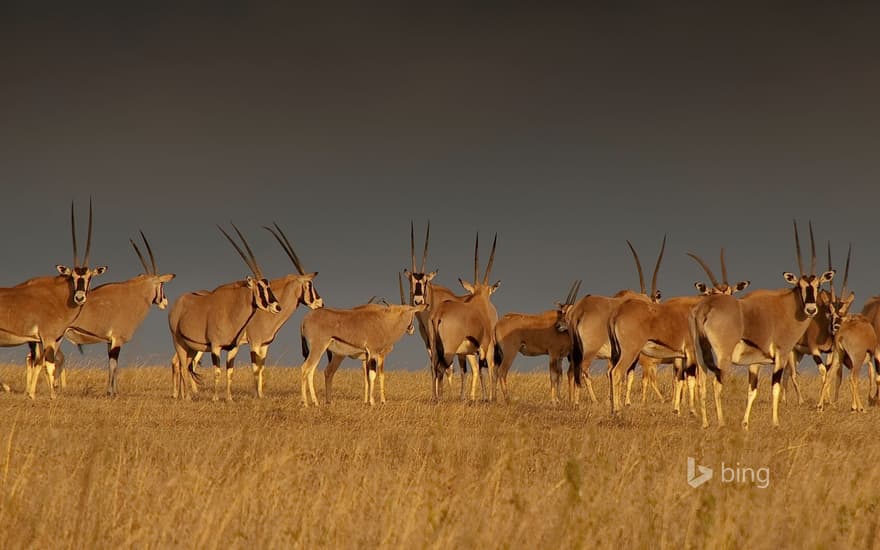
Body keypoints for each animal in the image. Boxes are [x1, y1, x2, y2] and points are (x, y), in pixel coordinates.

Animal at [300, 274, 426, 406]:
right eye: (412, 313)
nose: (411, 329)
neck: (385, 321)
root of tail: (305, 319)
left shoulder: (368, 355)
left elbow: (369, 377)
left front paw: (369, 401)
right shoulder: (375, 353)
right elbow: (373, 375)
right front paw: (373, 401)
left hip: (325, 352)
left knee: (315, 371)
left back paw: (319, 402)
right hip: (319, 349)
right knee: (306, 368)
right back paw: (306, 402)